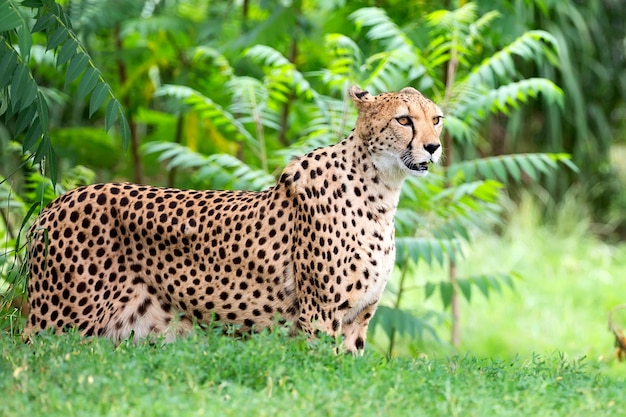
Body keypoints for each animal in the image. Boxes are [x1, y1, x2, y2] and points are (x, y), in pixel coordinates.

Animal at [25, 86, 444, 352]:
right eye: (404, 120)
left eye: (436, 119)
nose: (433, 147)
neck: (382, 190)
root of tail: (55, 203)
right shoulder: (320, 318)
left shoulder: (357, 321)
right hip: (56, 327)